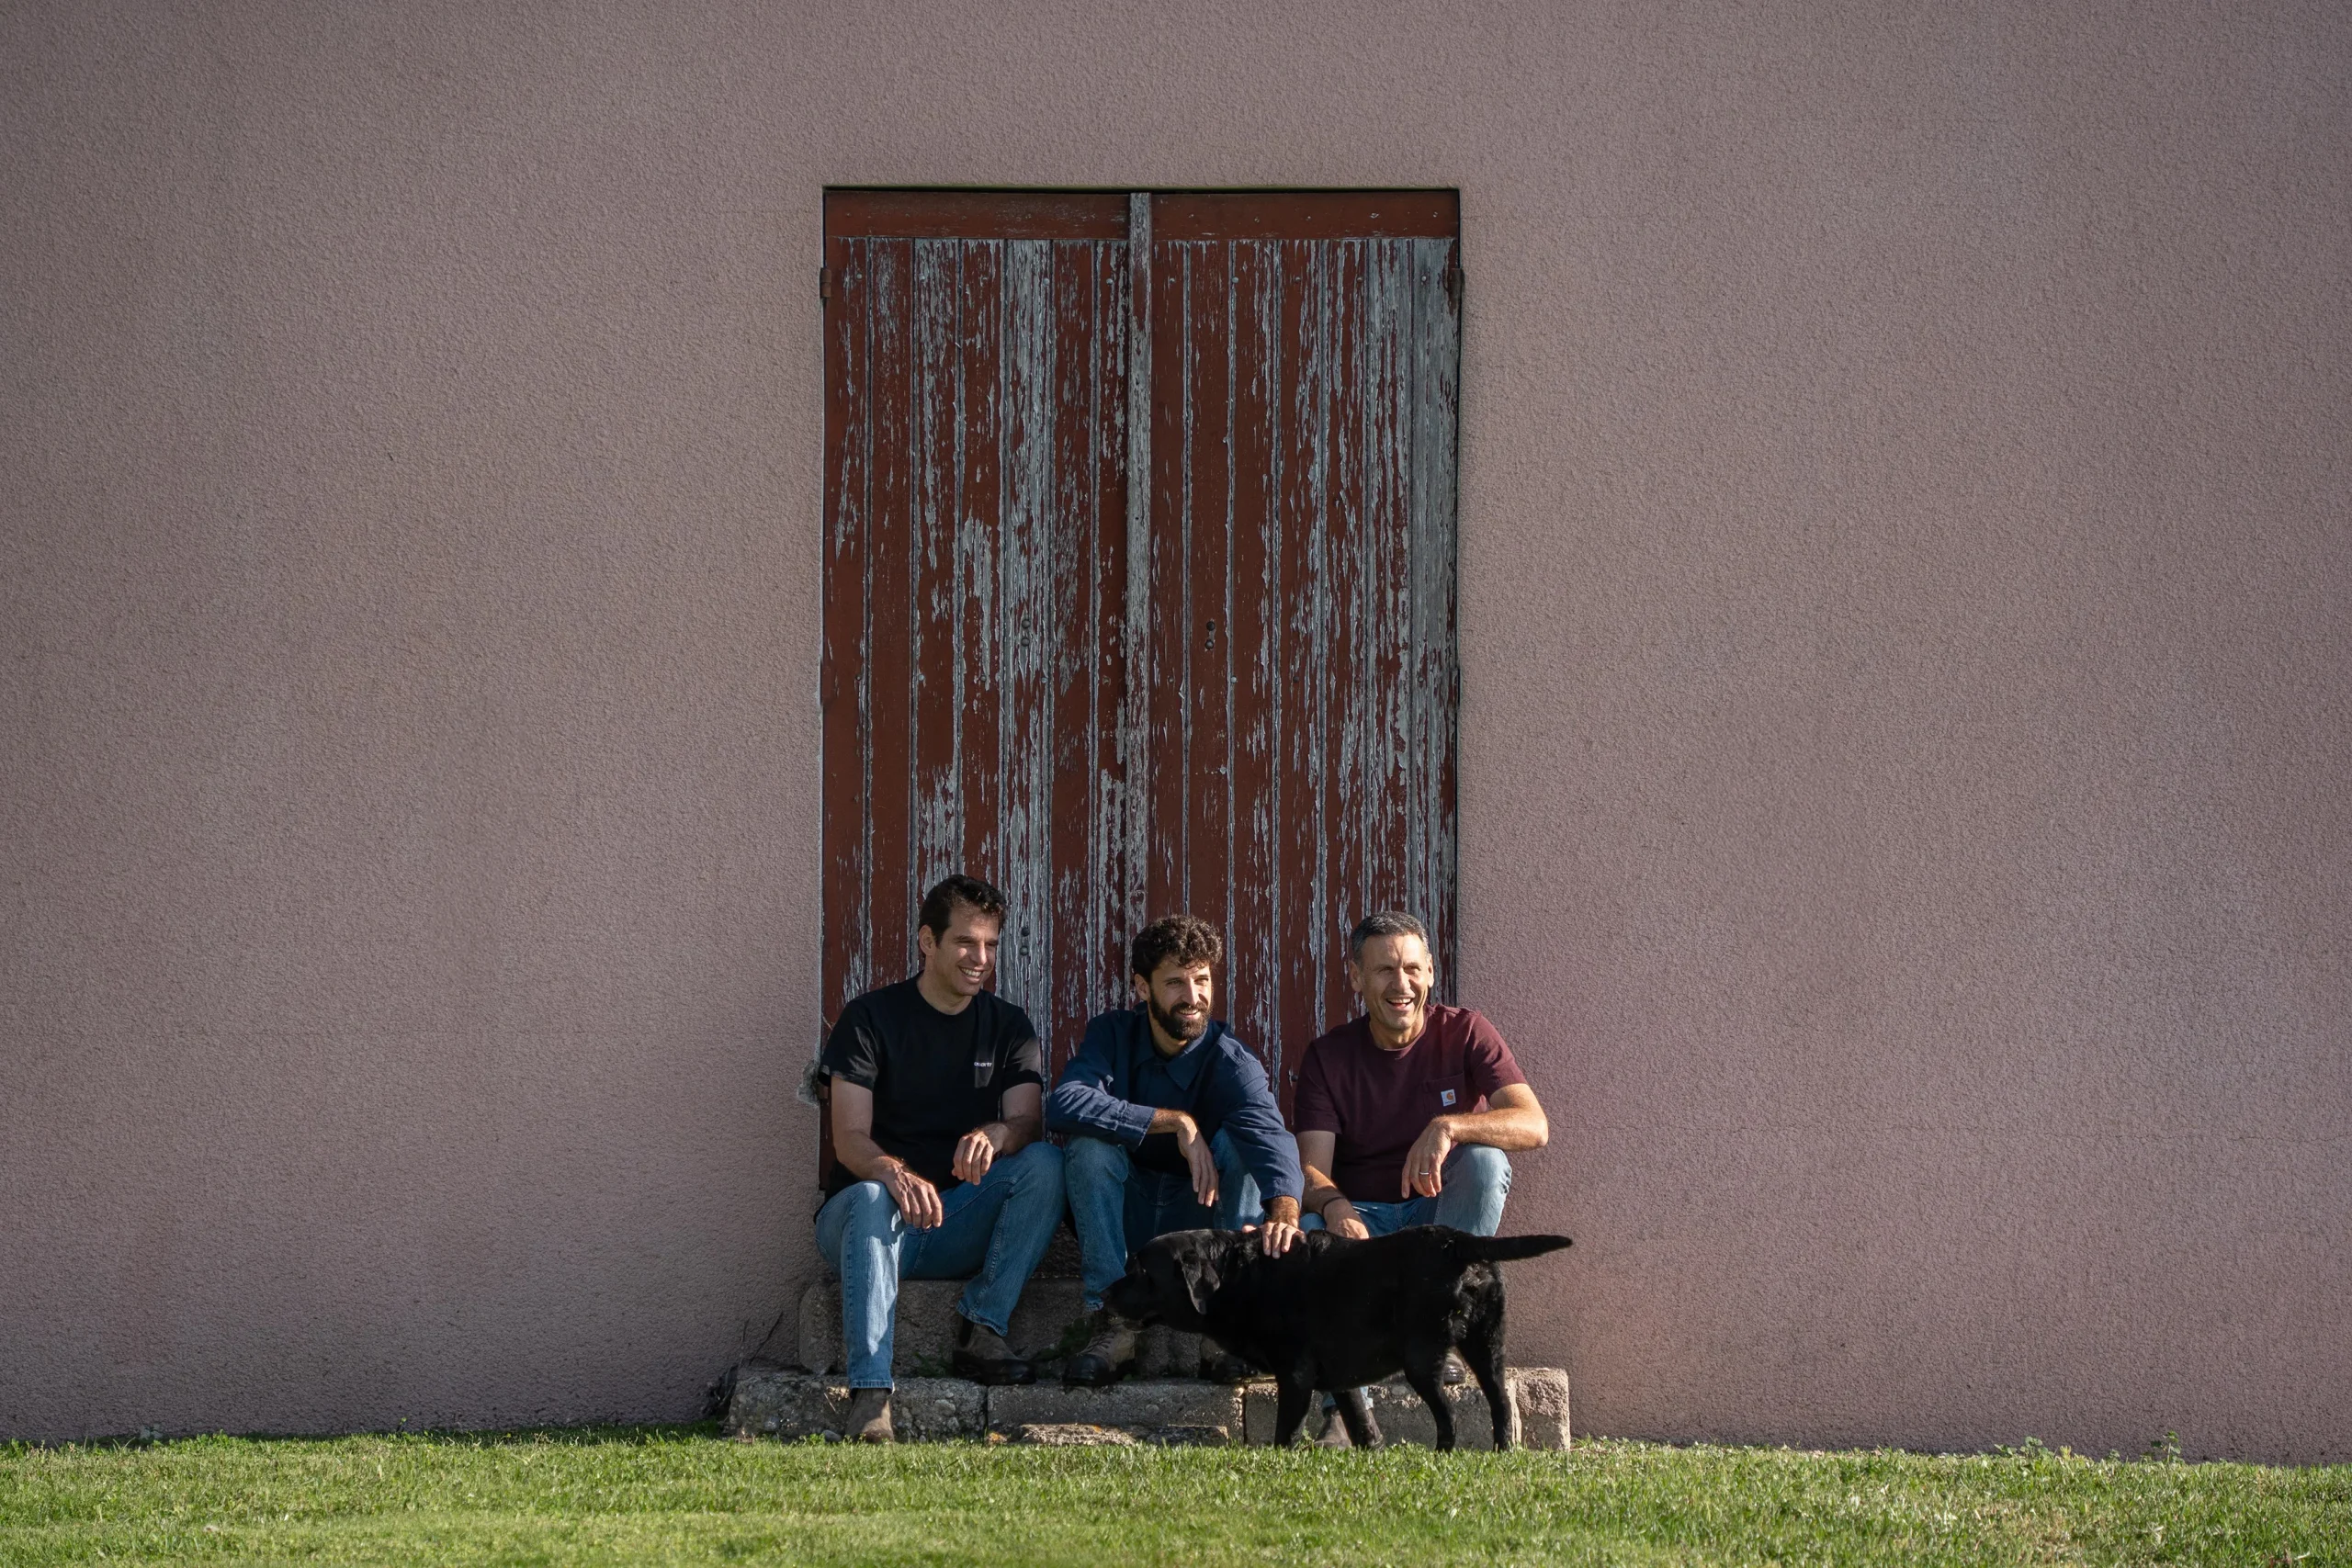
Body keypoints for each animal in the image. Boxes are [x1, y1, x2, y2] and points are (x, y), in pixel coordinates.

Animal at [1103, 1224, 1571, 1449]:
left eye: (1141, 1271)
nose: (1105, 1293)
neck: (1240, 1276)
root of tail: (1458, 1242)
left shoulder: (1295, 1374)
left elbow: (1286, 1431)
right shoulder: (1342, 1379)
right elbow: (1360, 1421)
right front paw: (1372, 1452)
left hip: (1422, 1358)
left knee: (1449, 1416)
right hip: (1487, 1345)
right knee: (1501, 1403)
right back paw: (1502, 1453)